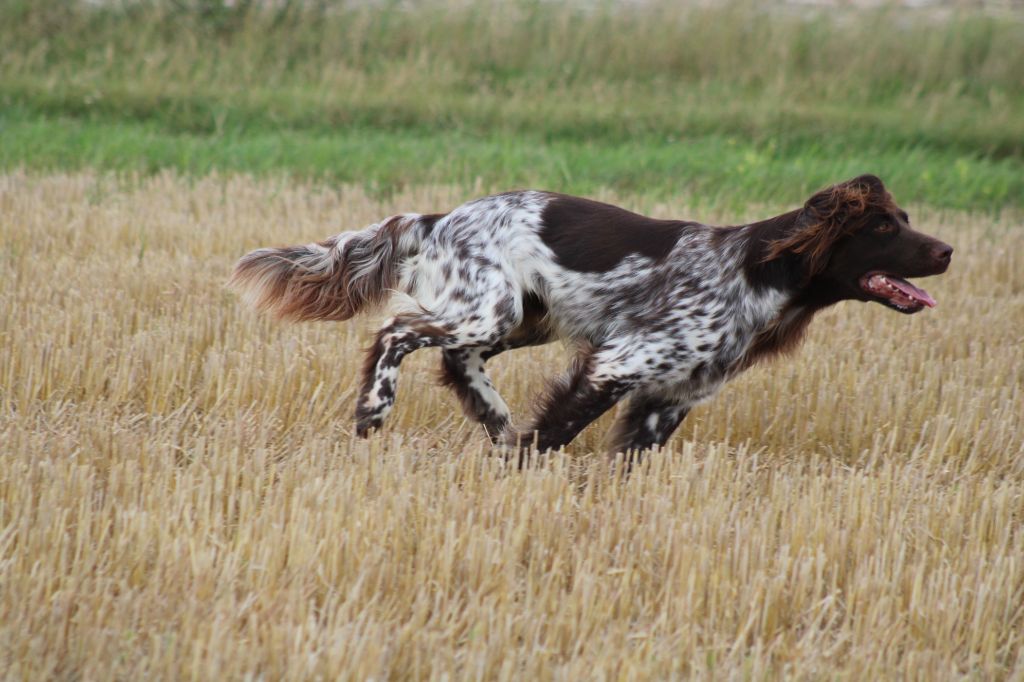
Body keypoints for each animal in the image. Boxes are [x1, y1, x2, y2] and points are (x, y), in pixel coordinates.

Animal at [232, 173, 950, 454]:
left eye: (903, 219)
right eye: (883, 226)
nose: (946, 251)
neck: (756, 270)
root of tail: (437, 218)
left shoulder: (668, 398)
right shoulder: (619, 364)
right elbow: (557, 432)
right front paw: (521, 469)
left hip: (527, 318)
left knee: (457, 361)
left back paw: (495, 417)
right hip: (491, 310)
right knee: (397, 331)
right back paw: (374, 411)